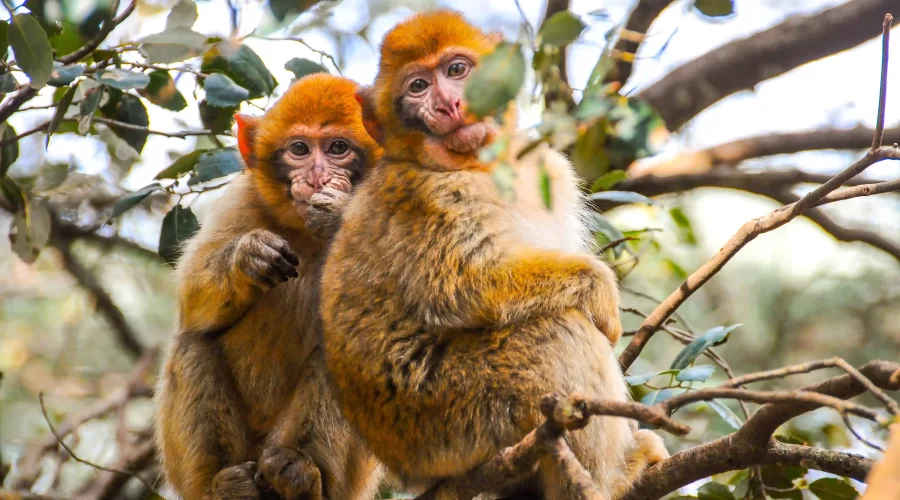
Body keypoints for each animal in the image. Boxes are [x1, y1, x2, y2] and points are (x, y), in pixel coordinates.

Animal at [154, 73, 384, 500]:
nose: (315, 177)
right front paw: (247, 257)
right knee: (194, 341)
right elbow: (191, 302)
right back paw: (225, 486)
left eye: (337, 148)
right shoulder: (242, 201)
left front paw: (339, 211)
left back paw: (298, 474)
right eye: (299, 149)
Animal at [320, 11, 667, 500]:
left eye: (456, 70)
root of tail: (405, 467)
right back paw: (611, 480)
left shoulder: (548, 167)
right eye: (418, 87)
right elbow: (461, 286)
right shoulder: (431, 197)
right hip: (448, 418)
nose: (449, 104)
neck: (479, 164)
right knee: (556, 330)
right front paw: (601, 294)